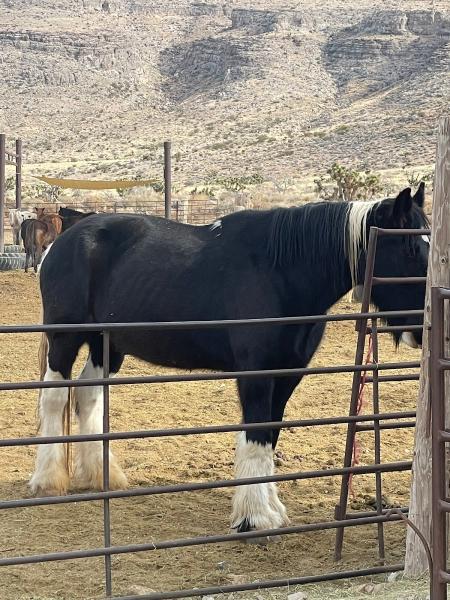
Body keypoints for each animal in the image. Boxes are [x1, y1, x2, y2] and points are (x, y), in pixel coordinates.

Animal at [31, 185, 428, 532]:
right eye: (410, 248)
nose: (422, 330)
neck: (281, 272)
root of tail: (63, 240)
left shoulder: (287, 374)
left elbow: (270, 435)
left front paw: (271, 510)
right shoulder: (255, 374)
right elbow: (256, 435)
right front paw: (254, 517)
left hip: (107, 346)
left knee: (87, 396)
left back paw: (102, 475)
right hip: (65, 338)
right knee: (54, 399)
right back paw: (48, 480)